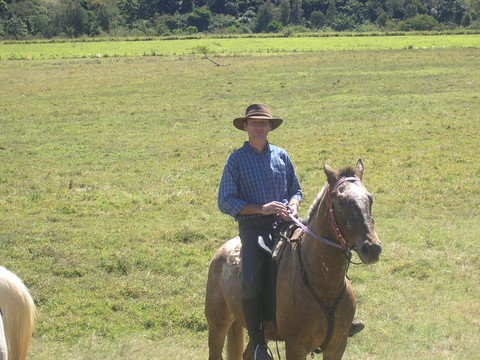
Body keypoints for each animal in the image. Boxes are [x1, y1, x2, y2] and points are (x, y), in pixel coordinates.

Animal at [205, 161, 382, 360]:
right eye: (341, 201)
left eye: (370, 199)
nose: (372, 248)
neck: (322, 283)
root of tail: (222, 251)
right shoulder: (296, 346)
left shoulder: (337, 346)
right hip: (217, 324)